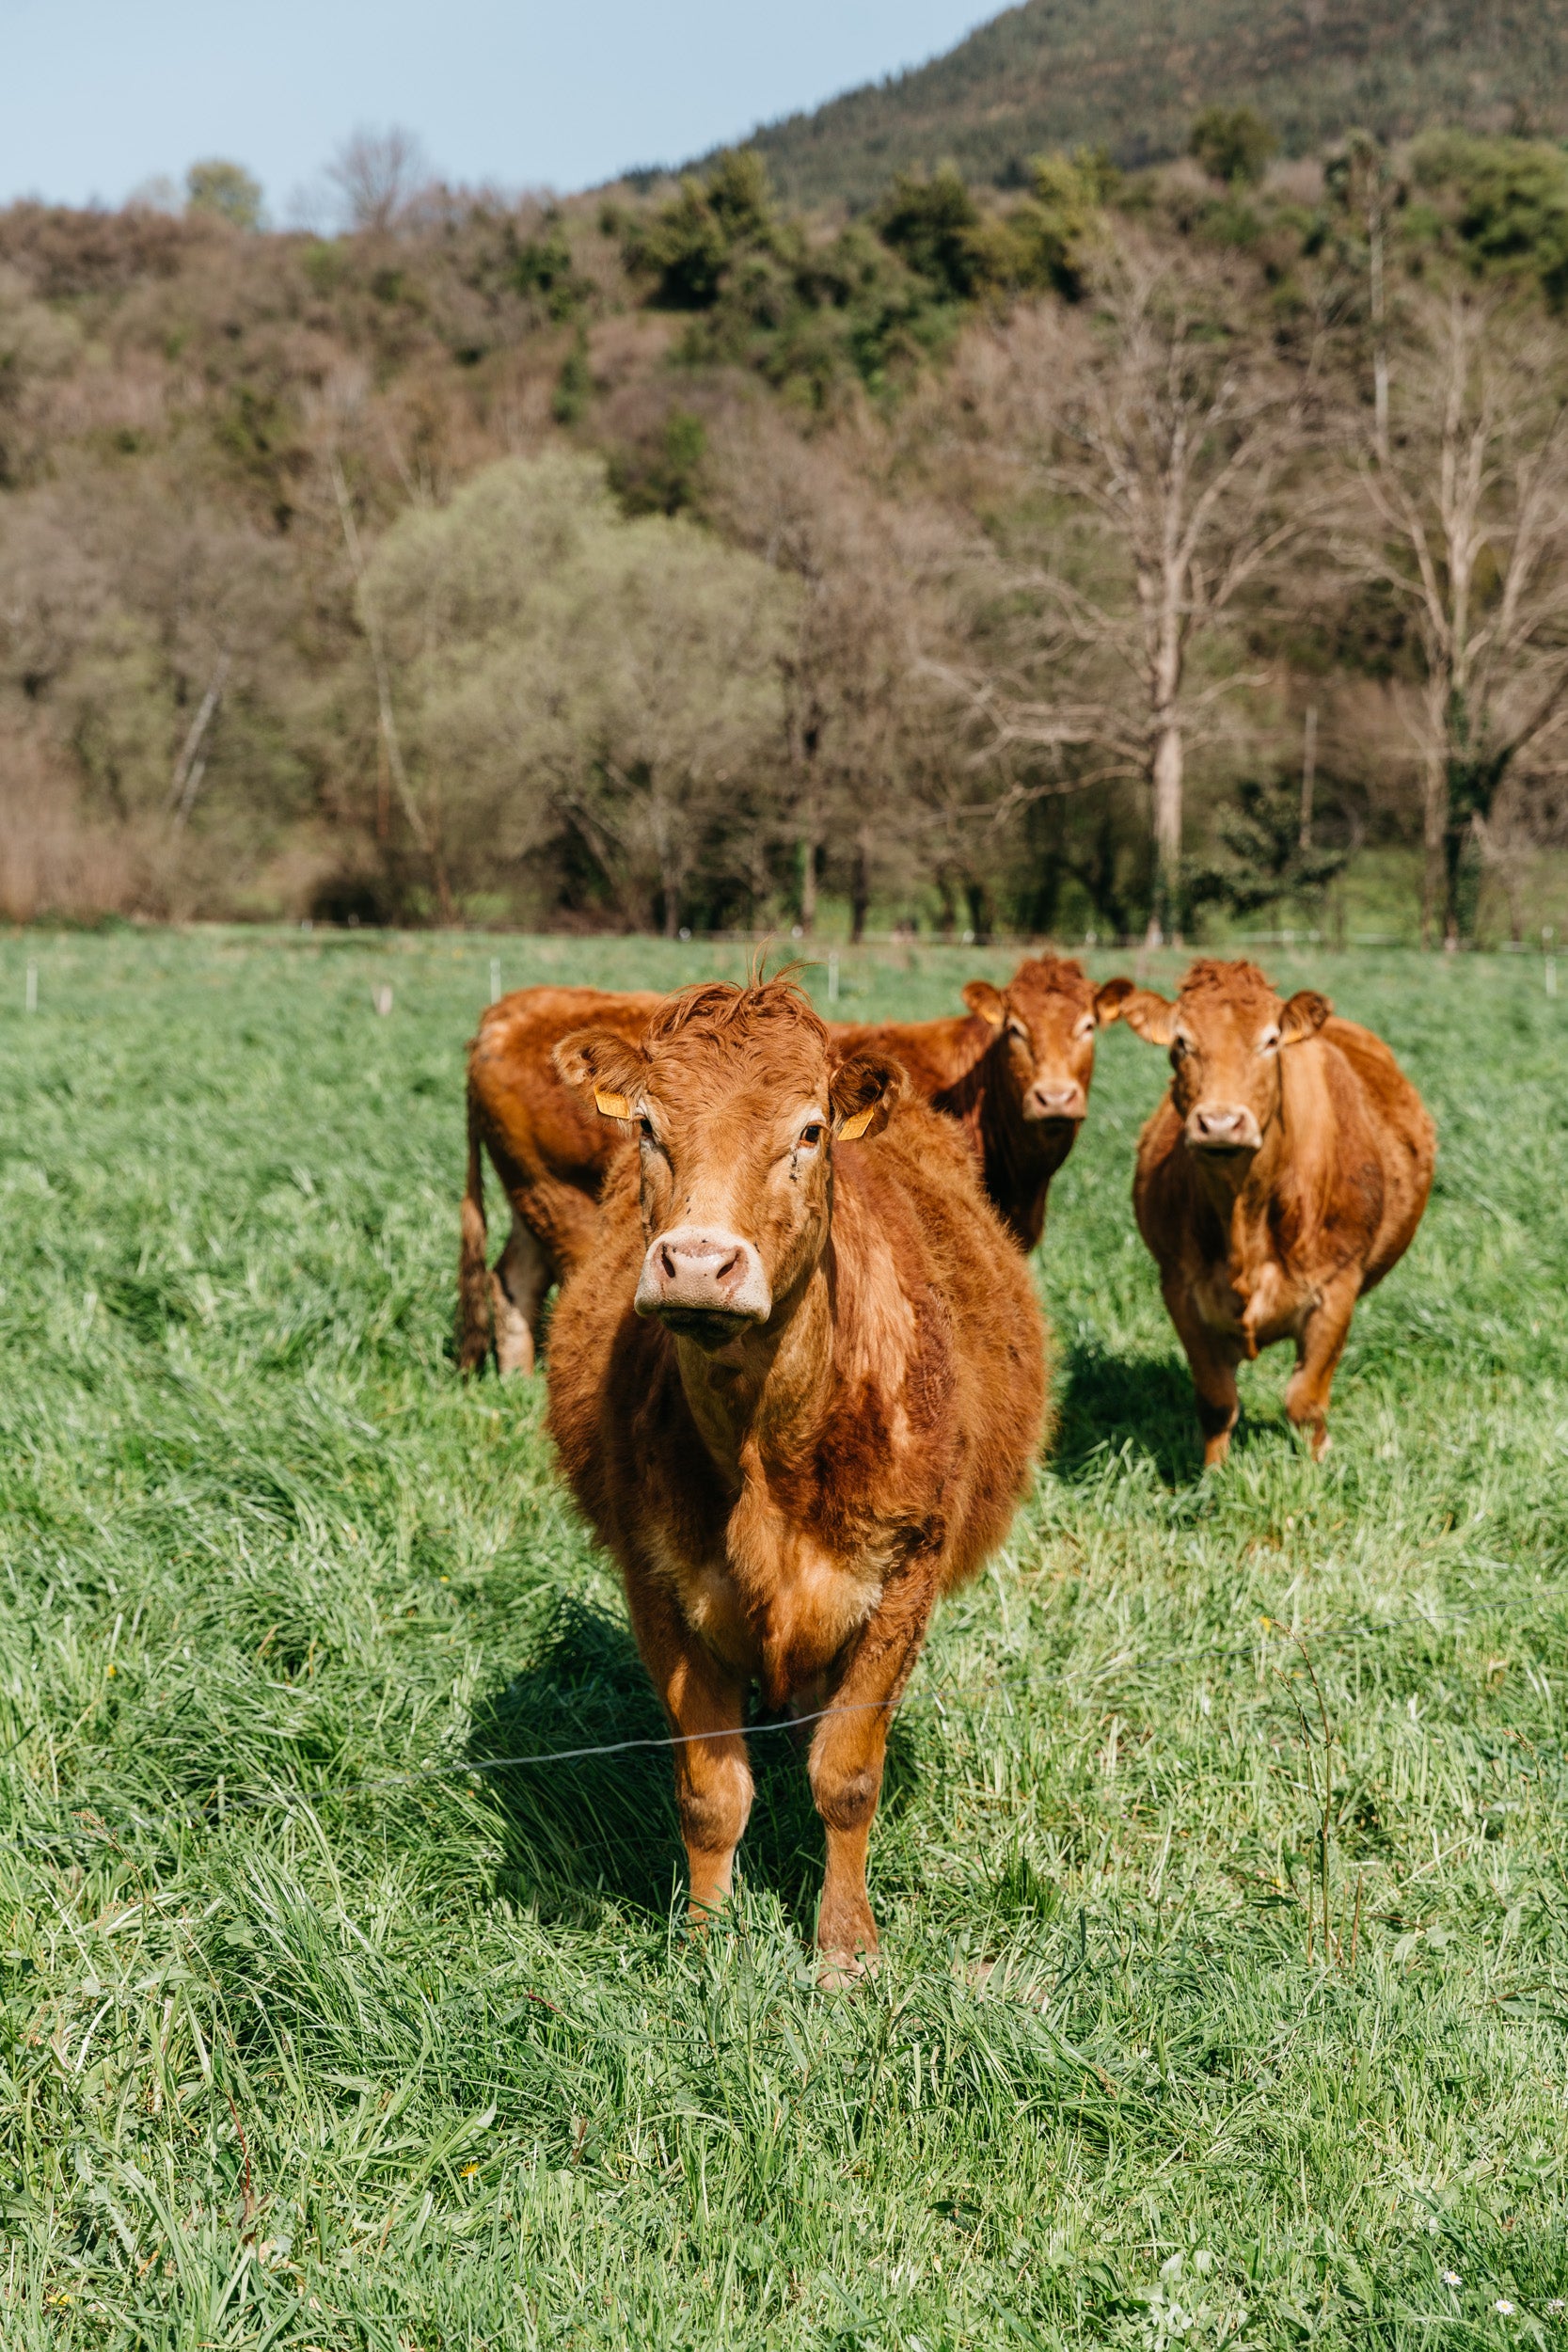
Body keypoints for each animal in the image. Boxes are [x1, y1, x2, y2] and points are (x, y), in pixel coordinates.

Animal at [460, 946, 1123, 1374]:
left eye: (1089, 1026)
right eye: (1015, 1029)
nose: (1056, 1096)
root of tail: (502, 1013)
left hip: (532, 1198)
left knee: (512, 1280)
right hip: (562, 1202)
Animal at [545, 969, 1048, 1966]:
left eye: (808, 1131)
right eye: (648, 1125)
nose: (697, 1263)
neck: (765, 1450)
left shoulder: (902, 1581)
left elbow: (845, 1777)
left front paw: (846, 1946)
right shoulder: (658, 1583)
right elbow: (710, 1794)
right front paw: (705, 1943)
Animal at [1114, 964, 1438, 1458]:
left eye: (1269, 1041)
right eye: (1181, 1043)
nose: (1221, 1123)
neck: (1243, 1215)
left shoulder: (1336, 1289)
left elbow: (1304, 1403)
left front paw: (1317, 1467)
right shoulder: (1180, 1289)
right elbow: (1216, 1401)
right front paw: (1214, 1473)